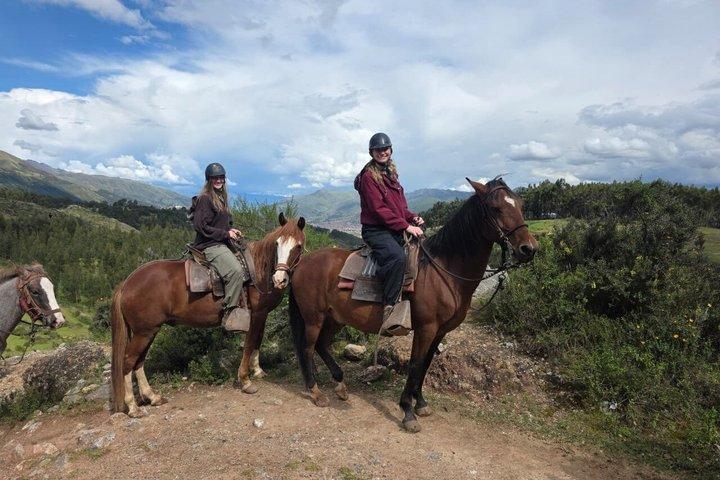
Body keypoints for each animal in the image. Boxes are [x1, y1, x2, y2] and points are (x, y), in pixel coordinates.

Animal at [111, 213, 306, 417]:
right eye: (277, 244)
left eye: (298, 246)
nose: (279, 280)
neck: (259, 270)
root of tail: (127, 283)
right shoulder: (256, 314)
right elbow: (250, 343)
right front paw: (245, 380)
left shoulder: (263, 314)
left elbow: (258, 341)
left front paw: (258, 370)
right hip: (144, 332)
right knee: (128, 360)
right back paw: (133, 407)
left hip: (149, 331)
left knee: (139, 361)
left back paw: (152, 397)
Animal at [288, 177, 538, 432]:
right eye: (496, 208)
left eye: (520, 204)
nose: (529, 248)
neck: (442, 271)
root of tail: (301, 263)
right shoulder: (426, 328)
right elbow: (416, 364)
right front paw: (408, 411)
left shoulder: (441, 331)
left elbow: (426, 364)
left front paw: (421, 403)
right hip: (314, 317)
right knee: (308, 348)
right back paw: (316, 392)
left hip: (334, 318)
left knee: (321, 345)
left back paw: (339, 384)